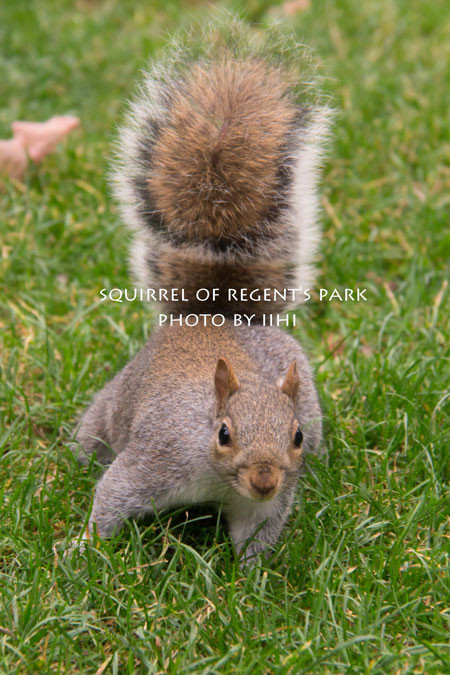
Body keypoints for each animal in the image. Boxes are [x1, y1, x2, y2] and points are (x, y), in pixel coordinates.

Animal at [73, 18, 332, 563]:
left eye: (294, 436)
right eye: (224, 433)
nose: (265, 480)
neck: (218, 482)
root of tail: (213, 315)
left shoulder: (260, 508)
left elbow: (257, 536)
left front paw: (253, 580)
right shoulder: (153, 462)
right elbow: (110, 500)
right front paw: (84, 552)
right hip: (110, 408)